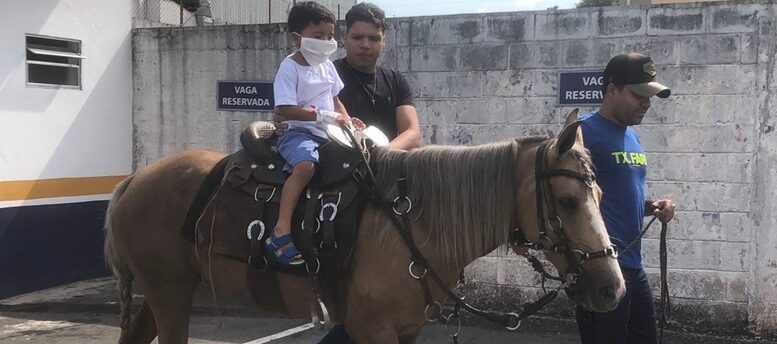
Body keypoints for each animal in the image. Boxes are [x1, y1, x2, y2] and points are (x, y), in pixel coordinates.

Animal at [104, 111, 624, 342]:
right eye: (567, 201)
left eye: (601, 196)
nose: (611, 289)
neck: (411, 221)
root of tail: (135, 180)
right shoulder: (374, 330)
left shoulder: (408, 329)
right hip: (170, 295)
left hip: (165, 292)